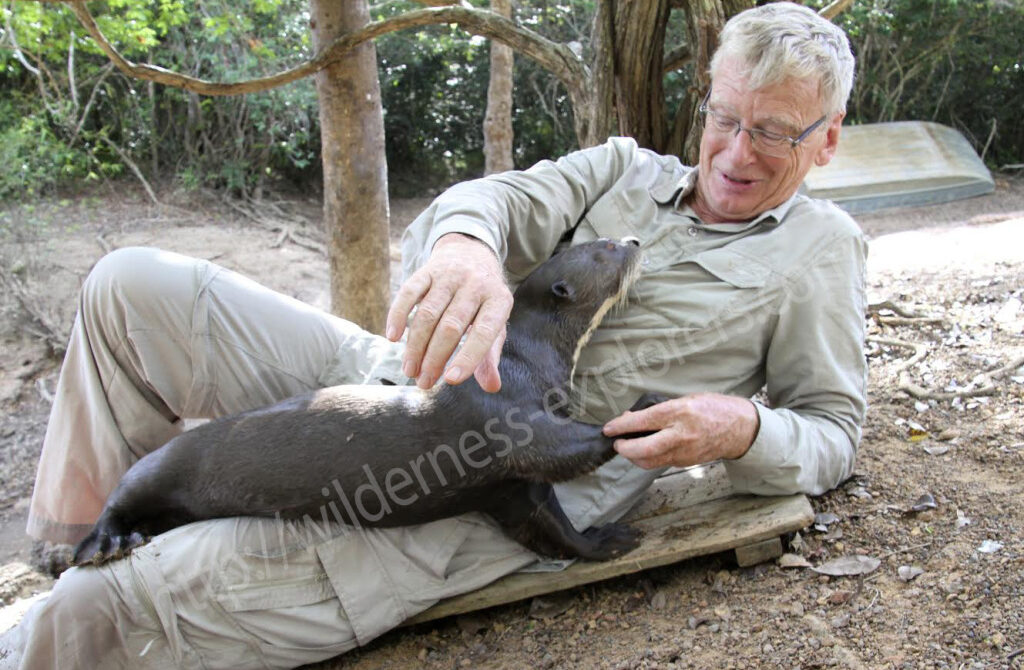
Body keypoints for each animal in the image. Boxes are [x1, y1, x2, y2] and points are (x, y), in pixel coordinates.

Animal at [73, 238, 663, 566]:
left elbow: (551, 530)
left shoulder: (512, 492)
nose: (636, 238)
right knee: (119, 494)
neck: (525, 357)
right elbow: (567, 443)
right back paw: (102, 543)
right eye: (604, 248)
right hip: (159, 465)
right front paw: (645, 407)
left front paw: (604, 539)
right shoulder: (500, 417)